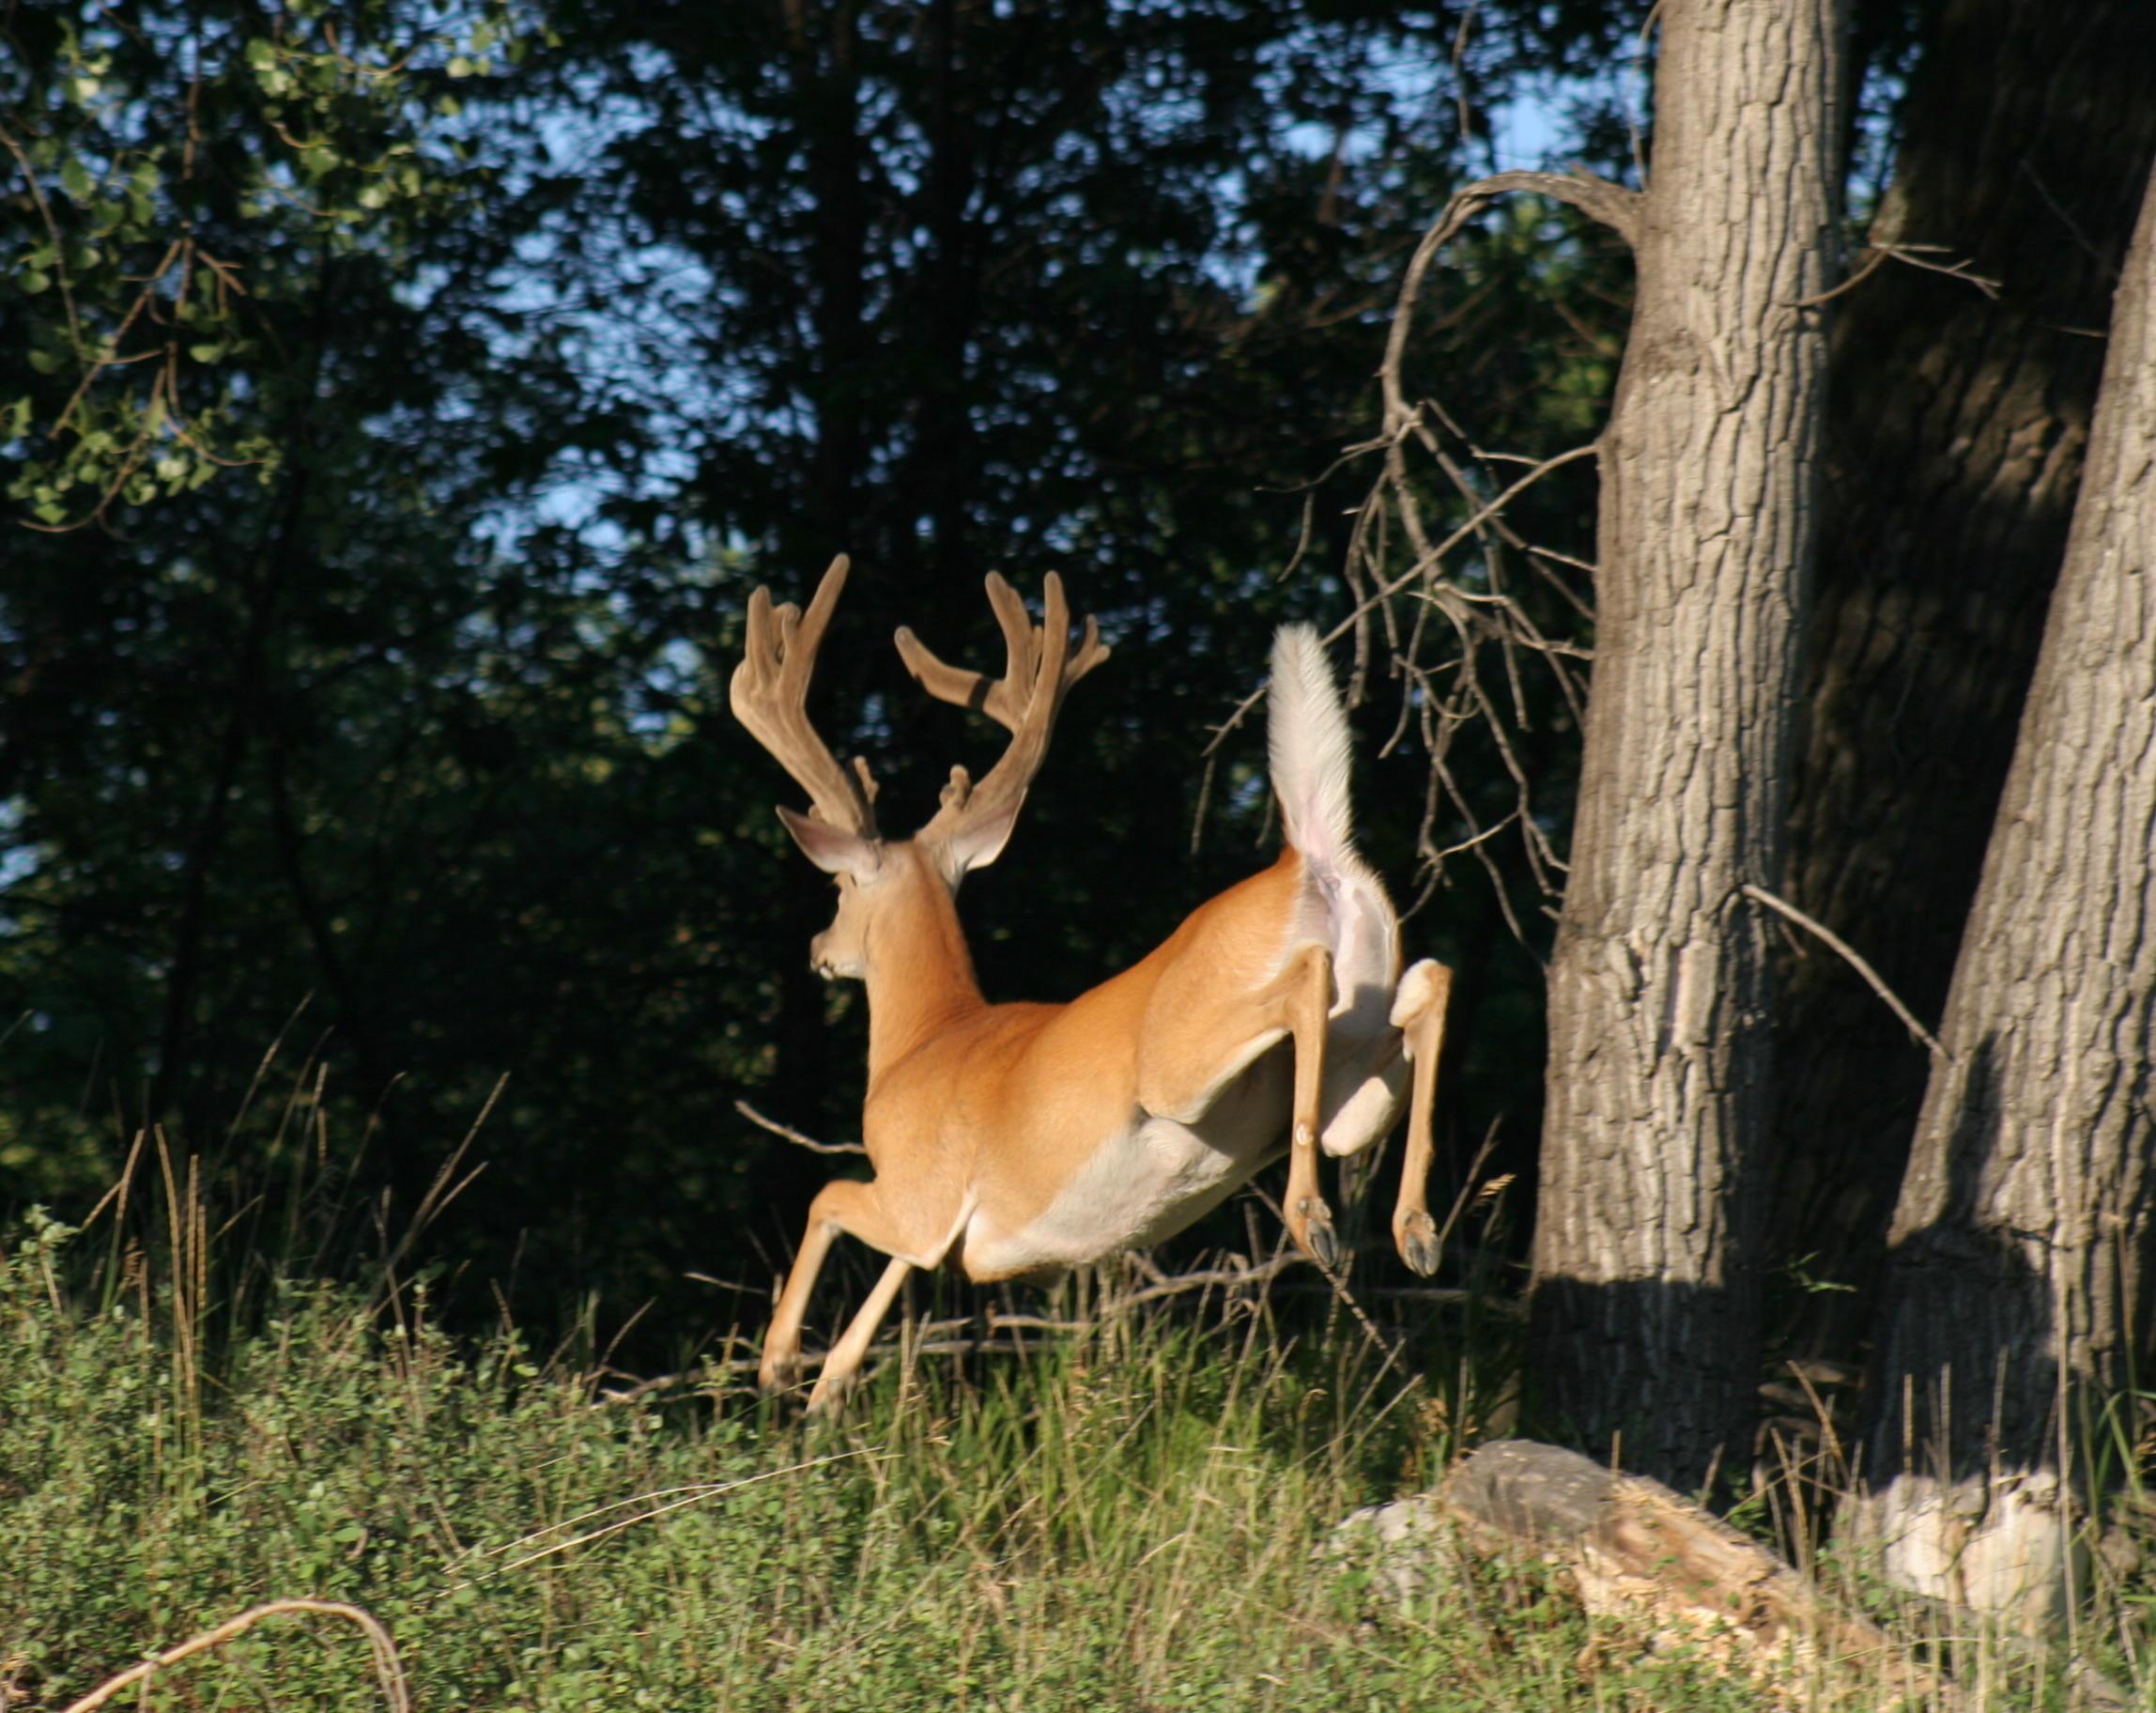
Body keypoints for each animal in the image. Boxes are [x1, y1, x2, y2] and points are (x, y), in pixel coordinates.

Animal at [732, 552, 1457, 1406]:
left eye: (840, 888)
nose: (818, 947)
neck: (921, 1041)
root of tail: (1308, 858)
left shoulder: (915, 1183)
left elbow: (829, 1200)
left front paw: (781, 1362)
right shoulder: (938, 1226)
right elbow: (893, 1275)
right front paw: (828, 1386)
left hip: (1181, 1061)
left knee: (1308, 979)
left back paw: (1313, 1217)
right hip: (1353, 1087)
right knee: (1430, 984)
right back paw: (1416, 1231)